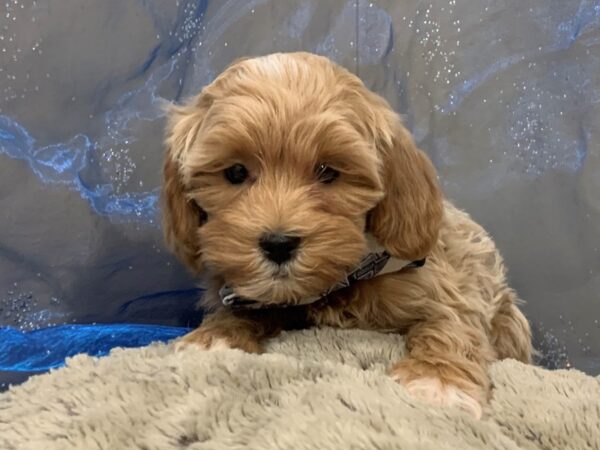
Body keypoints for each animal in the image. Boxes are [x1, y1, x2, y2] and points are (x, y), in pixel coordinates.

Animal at [162, 51, 532, 418]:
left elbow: (453, 320)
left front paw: (437, 379)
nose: (279, 244)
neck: (338, 281)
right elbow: (246, 307)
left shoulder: (452, 281)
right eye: (236, 172)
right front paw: (215, 336)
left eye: (328, 172)